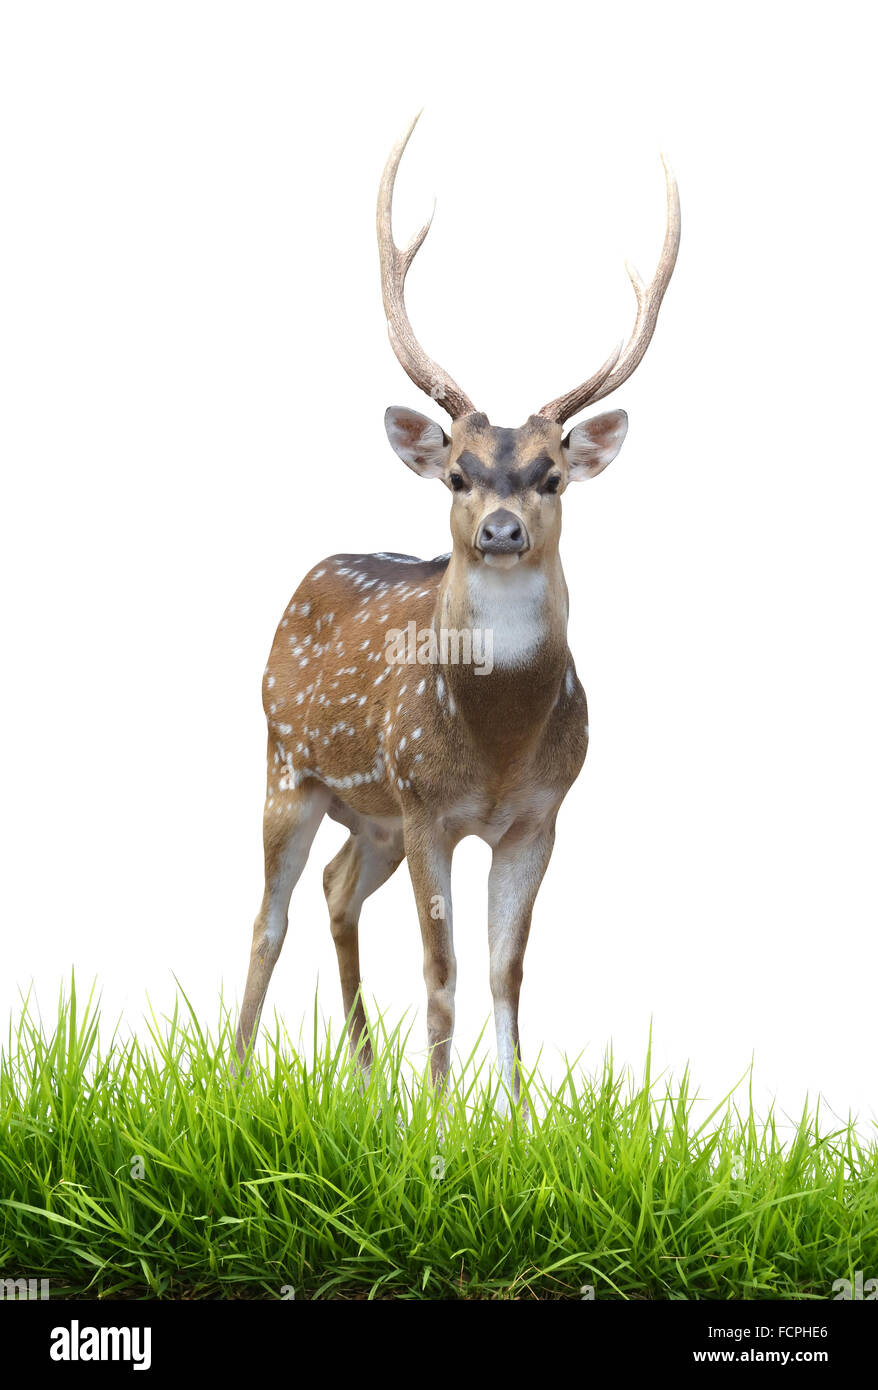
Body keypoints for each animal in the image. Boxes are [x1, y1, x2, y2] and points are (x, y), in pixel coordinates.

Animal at [236, 113, 683, 1106]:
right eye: (457, 474)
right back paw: (231, 1074)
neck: (497, 745)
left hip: (371, 816)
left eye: (551, 475)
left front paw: (512, 1120)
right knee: (267, 918)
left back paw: (367, 1082)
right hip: (291, 764)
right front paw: (437, 1121)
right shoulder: (428, 803)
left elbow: (504, 971)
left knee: (335, 889)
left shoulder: (541, 814)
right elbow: (440, 971)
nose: (503, 529)